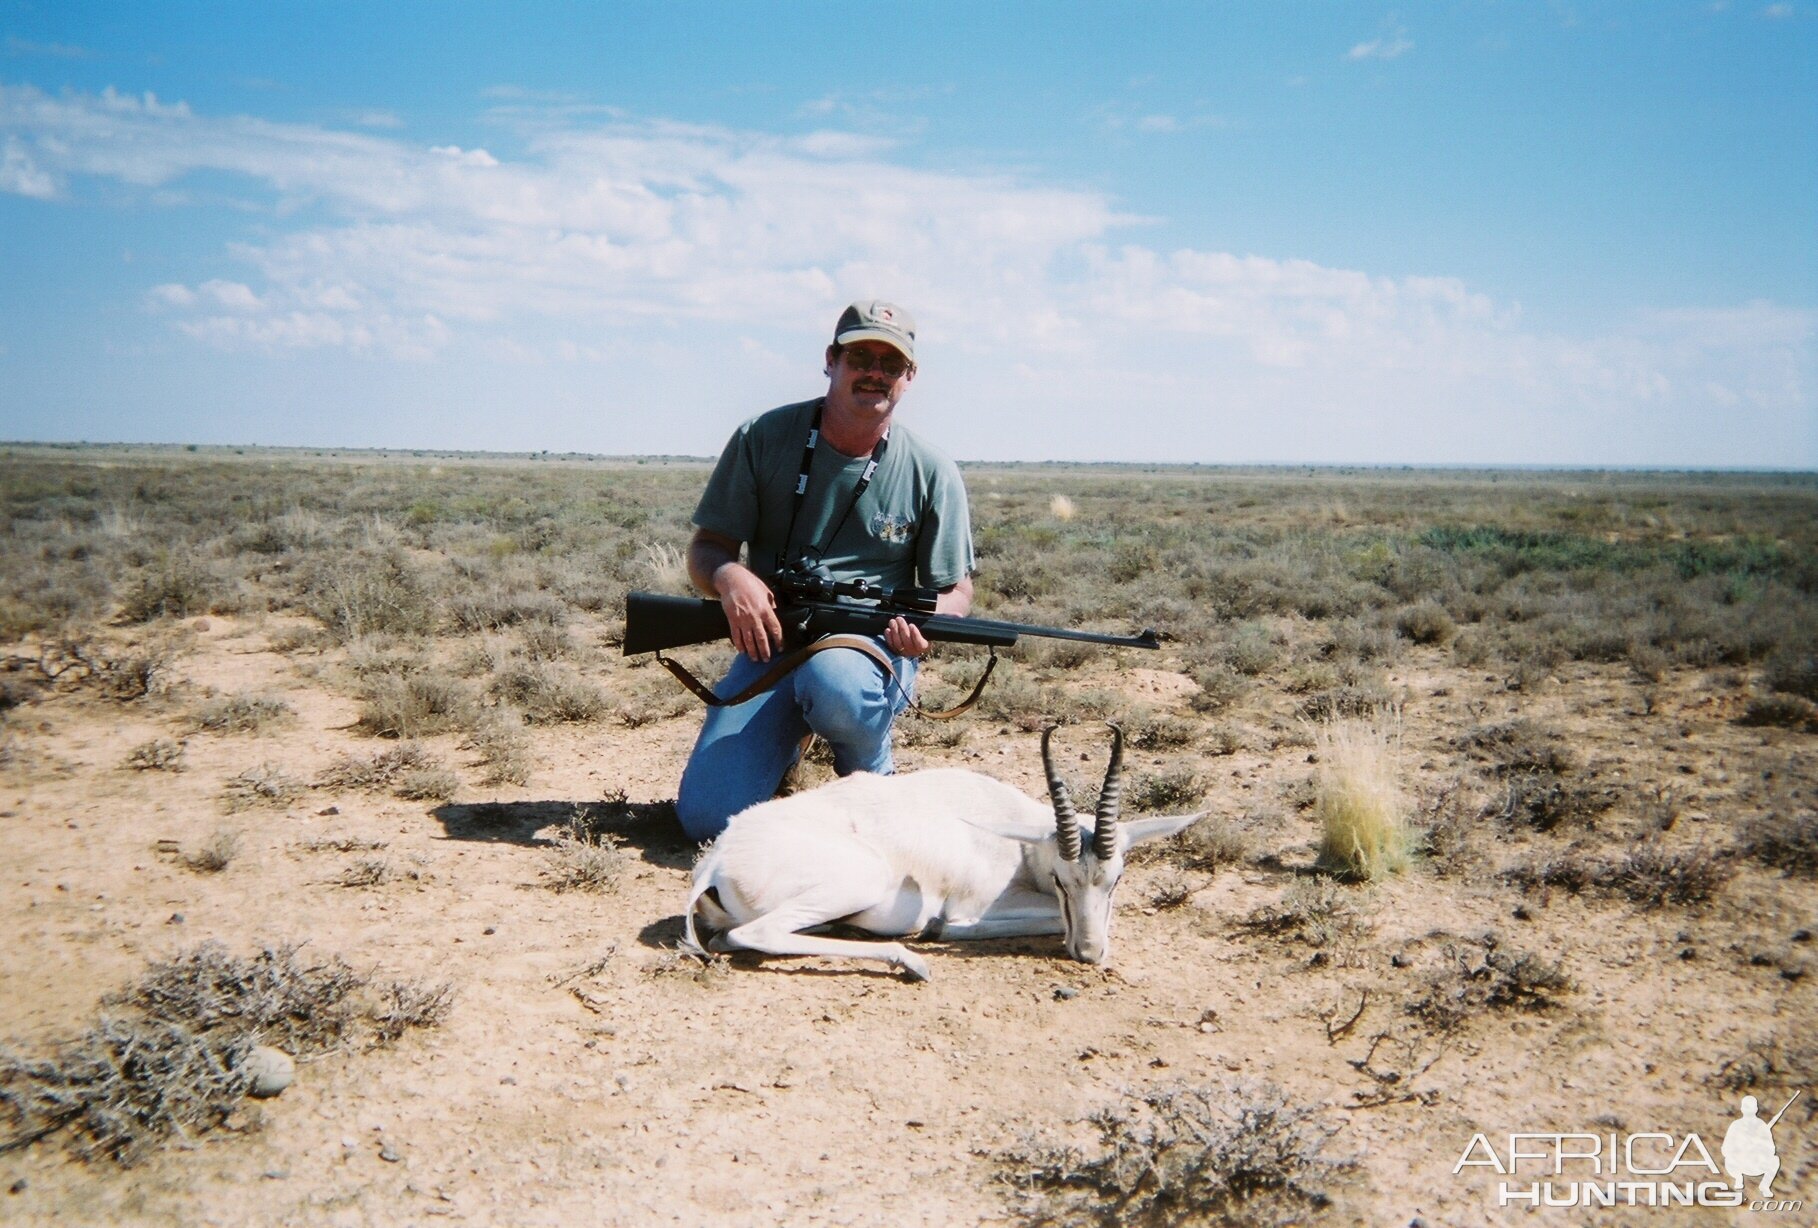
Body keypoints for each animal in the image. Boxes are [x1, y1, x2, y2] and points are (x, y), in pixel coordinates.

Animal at [683, 731, 1207, 982]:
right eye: (1062, 880)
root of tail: (718, 857)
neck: (1017, 843)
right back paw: (910, 962)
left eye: (1116, 878)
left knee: (734, 938)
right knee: (757, 934)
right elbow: (1042, 920)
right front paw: (937, 932)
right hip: (861, 880)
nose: (1089, 953)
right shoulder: (974, 907)